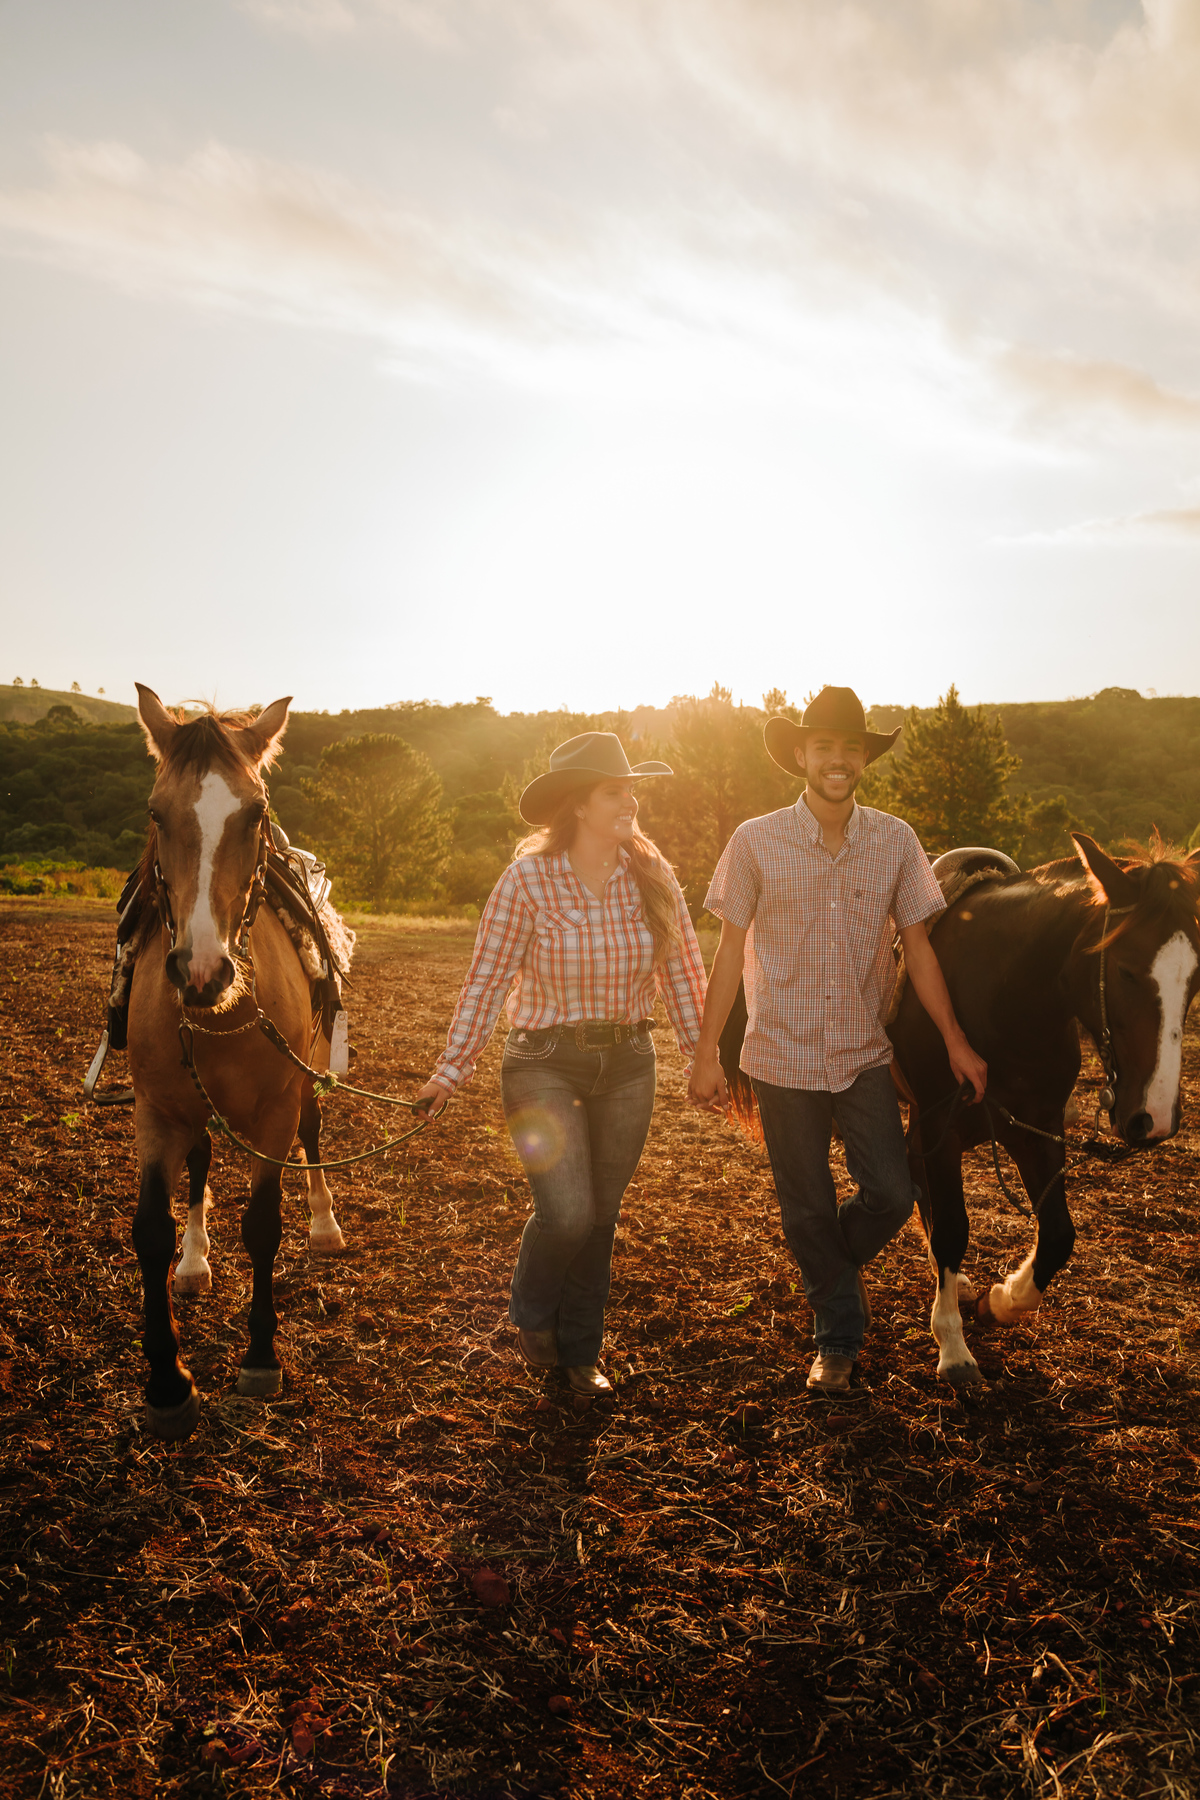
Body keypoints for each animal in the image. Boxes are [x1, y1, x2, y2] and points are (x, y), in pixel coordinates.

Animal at [127, 684, 347, 1440]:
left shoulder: (276, 1110)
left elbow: (262, 1226)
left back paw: (325, 1225)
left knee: (314, 1137)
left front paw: (259, 1357)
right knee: (198, 1166)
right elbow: (151, 1232)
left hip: (306, 1080)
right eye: (156, 813)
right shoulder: (157, 1112)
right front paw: (168, 1382)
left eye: (254, 814)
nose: (201, 970)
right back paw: (196, 1262)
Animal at [719, 832, 1200, 1390]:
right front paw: (952, 1345)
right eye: (1124, 968)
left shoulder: (1037, 1130)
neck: (1004, 998)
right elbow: (951, 1227)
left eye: (1194, 980)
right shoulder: (938, 1129)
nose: (1154, 1117)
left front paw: (1002, 1300)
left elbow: (1057, 1235)